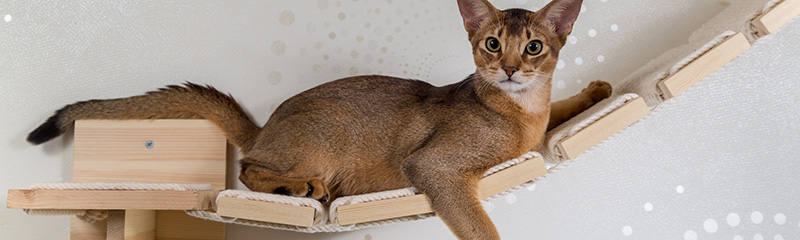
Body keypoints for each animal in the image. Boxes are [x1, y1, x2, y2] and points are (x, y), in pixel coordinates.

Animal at [28, 0, 608, 238]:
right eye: (491, 45)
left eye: (534, 48)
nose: (509, 68)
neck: (519, 113)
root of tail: (266, 124)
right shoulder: (436, 168)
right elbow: (480, 225)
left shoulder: (537, 123)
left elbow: (558, 110)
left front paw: (596, 89)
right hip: (322, 140)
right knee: (250, 169)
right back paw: (301, 188)